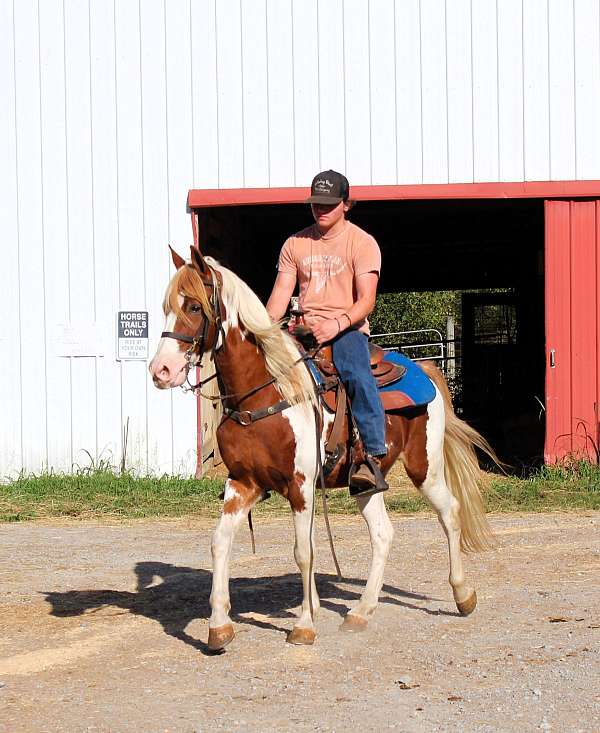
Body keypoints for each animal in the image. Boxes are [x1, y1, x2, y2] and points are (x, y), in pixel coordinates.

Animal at [150, 246, 496, 652]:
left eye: (193, 306)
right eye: (166, 306)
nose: (160, 370)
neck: (266, 392)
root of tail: (424, 368)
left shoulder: (300, 486)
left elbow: (304, 552)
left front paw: (304, 625)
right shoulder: (243, 484)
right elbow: (220, 542)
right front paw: (219, 627)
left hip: (424, 468)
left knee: (450, 514)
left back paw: (463, 595)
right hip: (365, 483)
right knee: (383, 534)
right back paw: (361, 612)